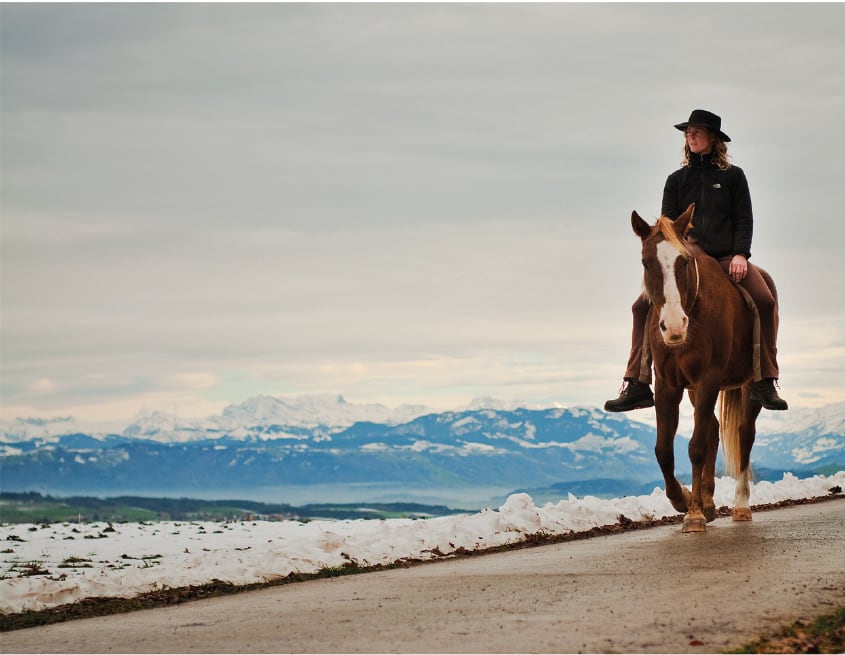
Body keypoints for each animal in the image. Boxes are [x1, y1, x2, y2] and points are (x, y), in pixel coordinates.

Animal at [628, 204, 768, 532]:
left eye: (684, 261)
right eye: (646, 262)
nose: (674, 326)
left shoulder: (708, 380)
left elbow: (696, 448)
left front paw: (692, 515)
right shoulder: (668, 384)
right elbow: (663, 449)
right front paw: (682, 500)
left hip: (747, 387)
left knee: (744, 435)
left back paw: (740, 506)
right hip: (693, 390)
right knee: (714, 430)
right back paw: (708, 501)